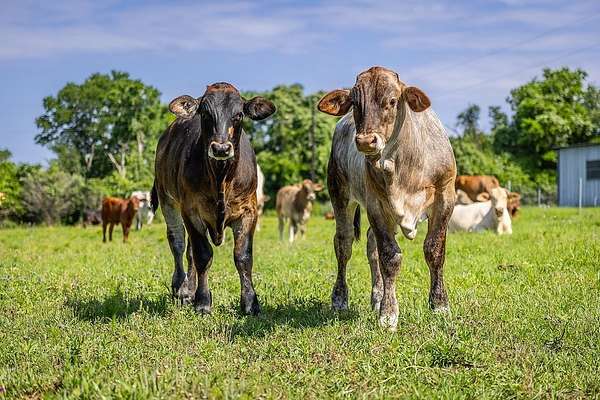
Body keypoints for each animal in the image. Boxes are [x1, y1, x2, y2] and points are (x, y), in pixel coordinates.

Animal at [152, 82, 276, 315]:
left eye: (238, 114)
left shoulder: (248, 211)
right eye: (206, 114)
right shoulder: (191, 211)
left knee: (189, 251)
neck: (221, 178)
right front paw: (202, 301)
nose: (221, 148)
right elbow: (203, 255)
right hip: (168, 200)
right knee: (178, 243)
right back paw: (181, 289)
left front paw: (250, 303)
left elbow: (243, 257)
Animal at [317, 66, 456, 330]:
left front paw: (440, 304)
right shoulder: (376, 205)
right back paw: (340, 298)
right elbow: (390, 258)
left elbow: (434, 250)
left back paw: (377, 296)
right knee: (344, 244)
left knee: (371, 246)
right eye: (354, 102)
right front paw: (388, 314)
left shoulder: (445, 196)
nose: (365, 140)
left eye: (392, 101)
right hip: (339, 193)